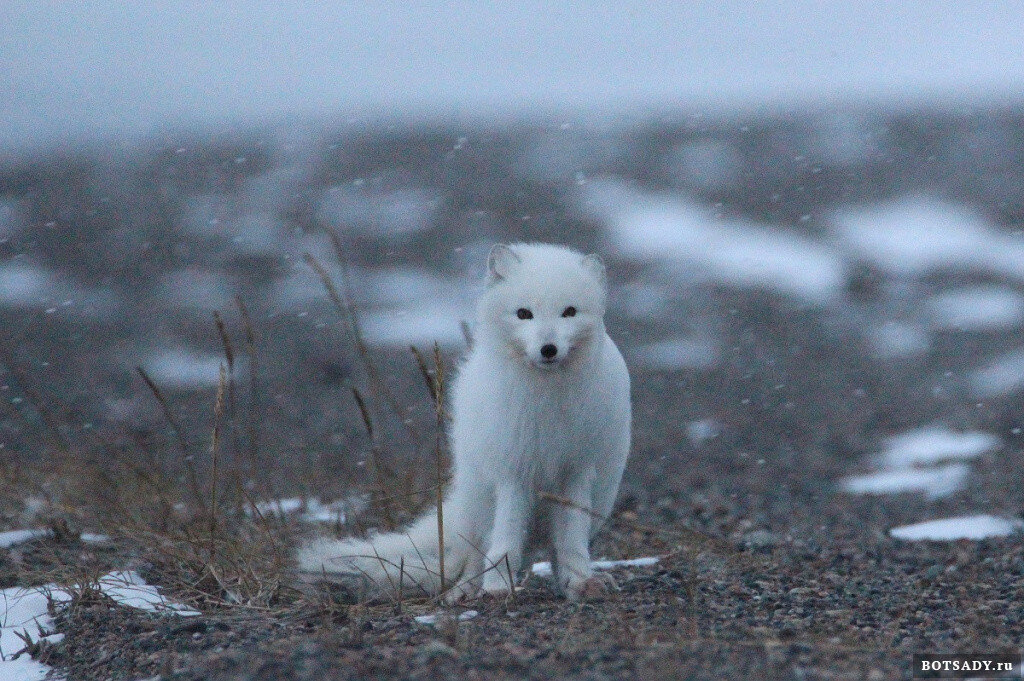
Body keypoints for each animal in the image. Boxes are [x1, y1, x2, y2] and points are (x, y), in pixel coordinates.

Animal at [296, 240, 630, 602]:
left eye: (569, 312)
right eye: (523, 314)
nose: (548, 349)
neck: (547, 401)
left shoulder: (577, 471)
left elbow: (571, 540)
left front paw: (580, 581)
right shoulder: (512, 471)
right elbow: (505, 540)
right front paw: (497, 586)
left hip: (600, 500)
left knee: (553, 548)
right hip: (477, 500)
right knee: (473, 557)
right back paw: (466, 591)